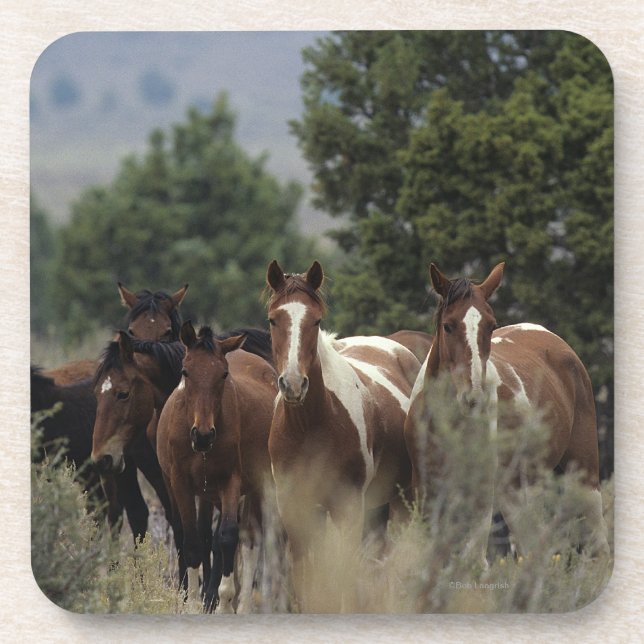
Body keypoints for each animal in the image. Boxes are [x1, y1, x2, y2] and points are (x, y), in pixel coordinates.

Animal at [155, 322, 277, 613]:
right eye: (185, 371)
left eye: (223, 374)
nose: (202, 435)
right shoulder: (180, 484)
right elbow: (191, 542)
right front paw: (192, 603)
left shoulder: (230, 482)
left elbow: (228, 537)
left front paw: (222, 601)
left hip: (258, 485)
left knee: (252, 538)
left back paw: (243, 605)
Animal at [265, 260, 421, 611]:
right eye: (273, 319)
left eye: (316, 320)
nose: (293, 384)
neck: (311, 427)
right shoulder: (296, 509)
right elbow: (306, 581)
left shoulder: (347, 507)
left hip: (402, 502)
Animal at [404, 262, 610, 566]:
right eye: (448, 326)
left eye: (490, 325)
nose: (474, 397)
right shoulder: (426, 489)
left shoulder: (480, 491)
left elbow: (474, 561)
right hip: (515, 492)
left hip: (583, 477)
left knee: (598, 546)